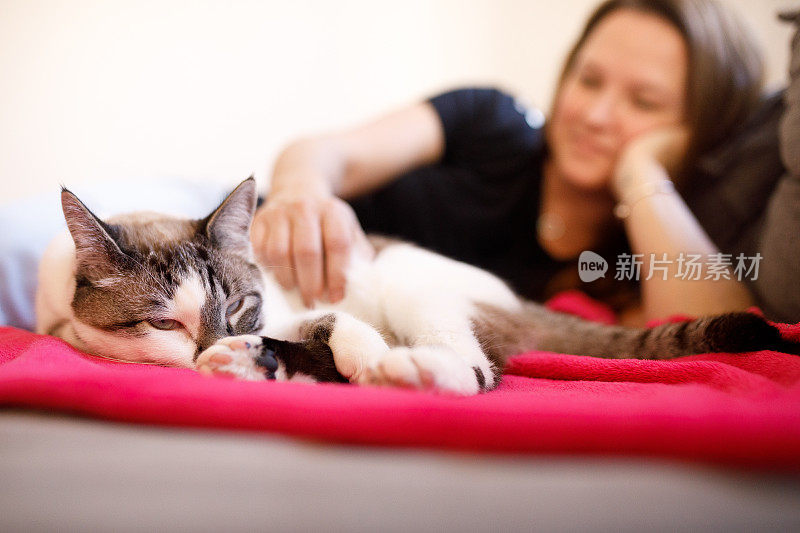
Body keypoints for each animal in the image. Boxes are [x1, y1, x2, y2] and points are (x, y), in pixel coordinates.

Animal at [36, 177, 800, 392]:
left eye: (242, 303)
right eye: (166, 323)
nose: (214, 344)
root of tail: (516, 298)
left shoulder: (306, 305)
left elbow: (340, 325)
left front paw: (367, 355)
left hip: (410, 281)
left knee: (478, 368)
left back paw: (408, 371)